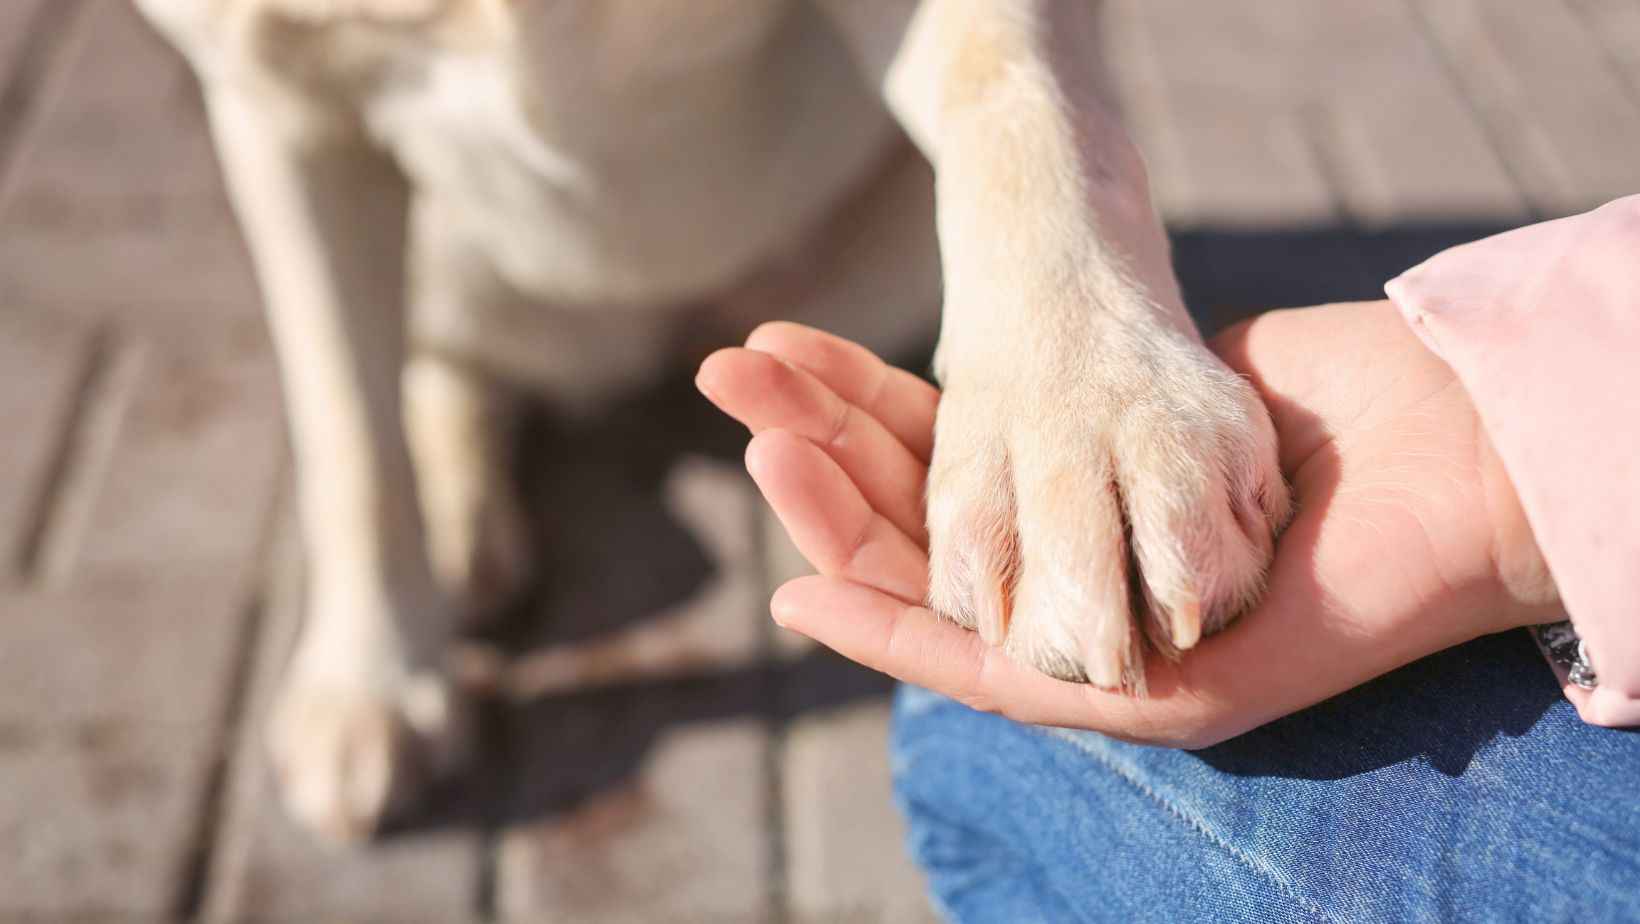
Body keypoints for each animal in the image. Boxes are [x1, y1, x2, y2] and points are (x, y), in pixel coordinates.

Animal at [134, 0, 1285, 840]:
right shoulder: (265, 86)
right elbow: (347, 432)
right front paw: (372, 676)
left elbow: (1019, 101)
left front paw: (1083, 412)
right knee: (441, 372)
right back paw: (458, 525)